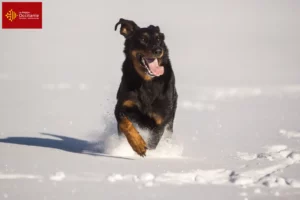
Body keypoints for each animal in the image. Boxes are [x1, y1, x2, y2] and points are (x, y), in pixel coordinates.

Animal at [113, 18, 177, 156]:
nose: (158, 50)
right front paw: (138, 145)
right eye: (143, 39)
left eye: (159, 39)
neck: (147, 82)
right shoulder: (121, 106)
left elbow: (153, 141)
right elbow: (125, 124)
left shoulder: (161, 120)